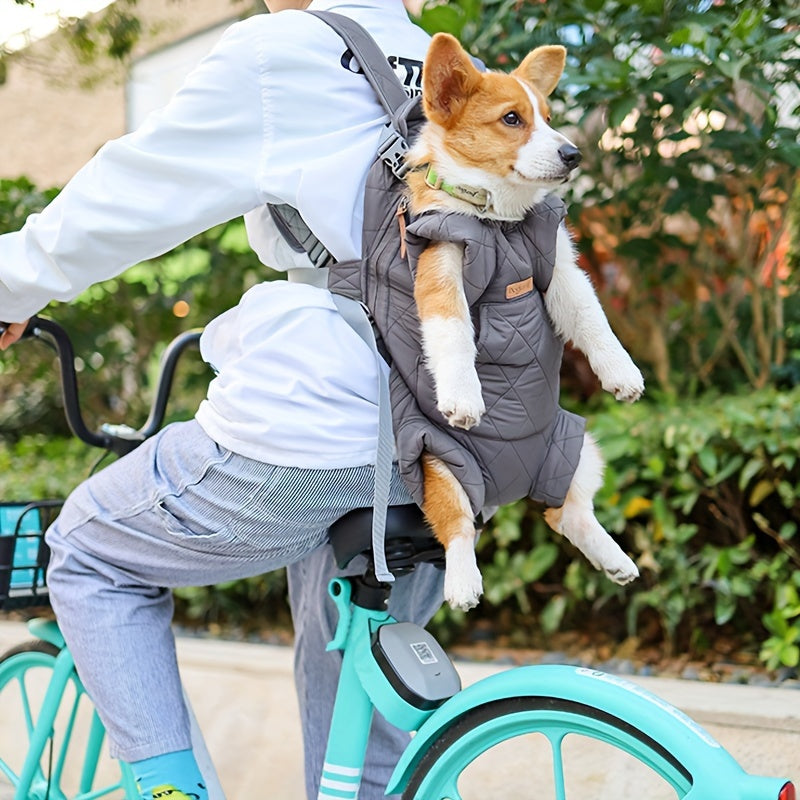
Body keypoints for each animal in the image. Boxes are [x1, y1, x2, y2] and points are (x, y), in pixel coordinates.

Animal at [406, 29, 644, 608]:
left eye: (550, 116)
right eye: (512, 119)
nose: (573, 154)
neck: (500, 221)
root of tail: (512, 490)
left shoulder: (561, 272)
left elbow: (593, 321)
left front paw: (622, 374)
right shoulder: (439, 272)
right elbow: (453, 336)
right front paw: (464, 397)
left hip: (581, 448)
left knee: (567, 514)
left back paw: (616, 560)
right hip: (440, 467)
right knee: (458, 528)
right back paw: (463, 581)